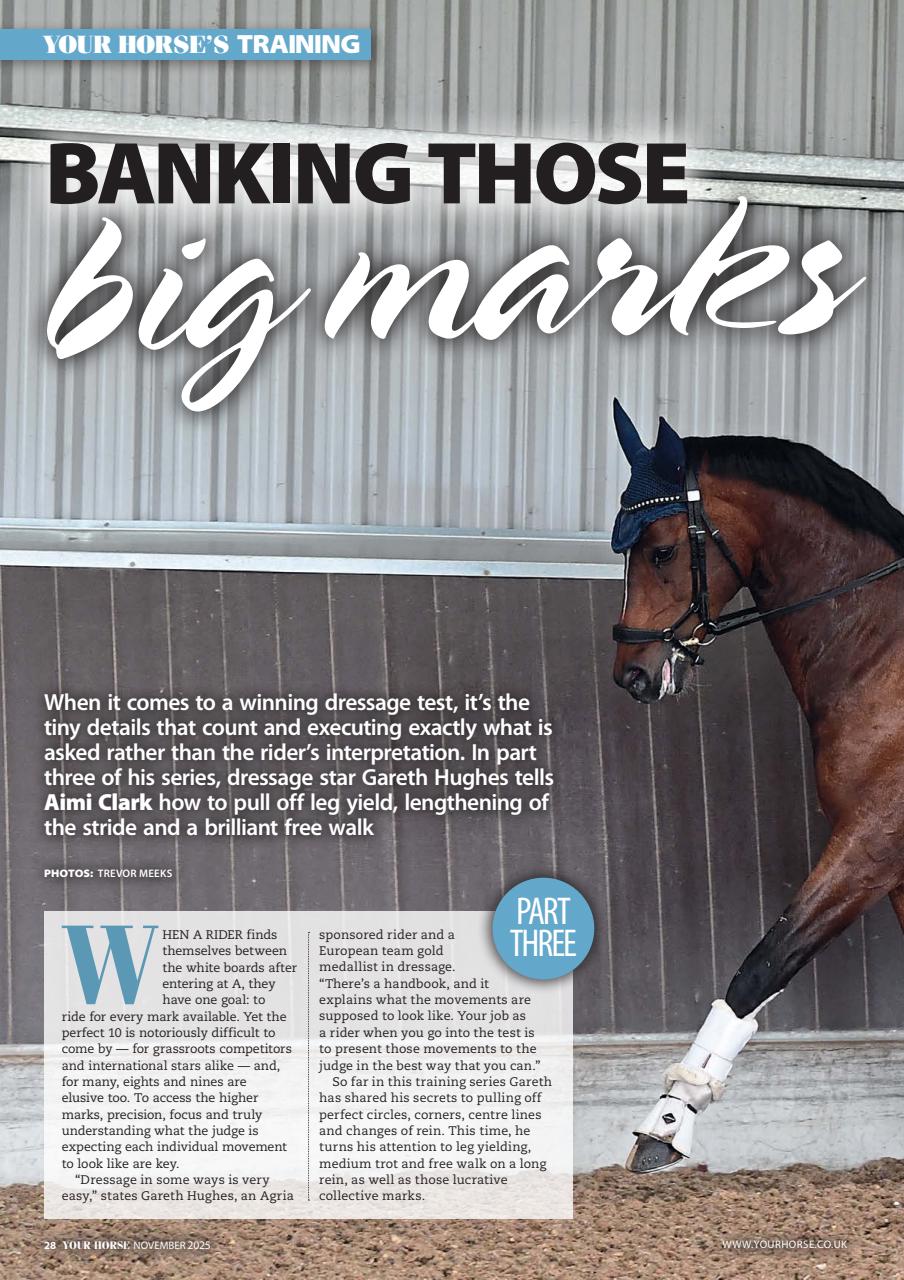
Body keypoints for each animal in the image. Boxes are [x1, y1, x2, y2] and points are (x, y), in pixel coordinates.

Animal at [608, 400, 904, 1174]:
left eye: (659, 551)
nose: (632, 674)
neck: (885, 652)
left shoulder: (873, 842)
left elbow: (761, 965)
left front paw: (666, 1122)